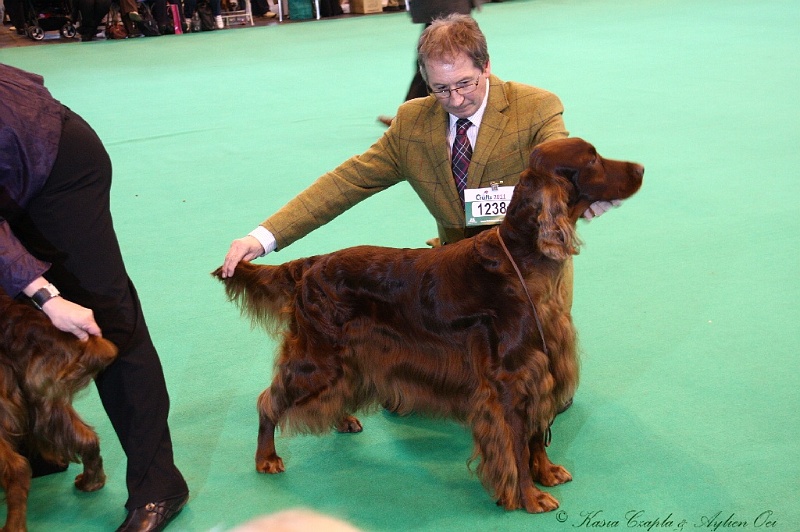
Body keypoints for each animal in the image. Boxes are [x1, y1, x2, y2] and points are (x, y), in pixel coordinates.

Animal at [212, 139, 644, 512]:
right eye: (592, 159)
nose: (641, 168)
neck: (522, 259)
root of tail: (310, 264)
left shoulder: (542, 365)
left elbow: (538, 434)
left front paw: (547, 472)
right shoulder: (510, 380)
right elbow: (518, 446)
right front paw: (529, 497)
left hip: (346, 355)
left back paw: (342, 418)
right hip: (317, 358)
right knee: (268, 401)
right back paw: (266, 458)